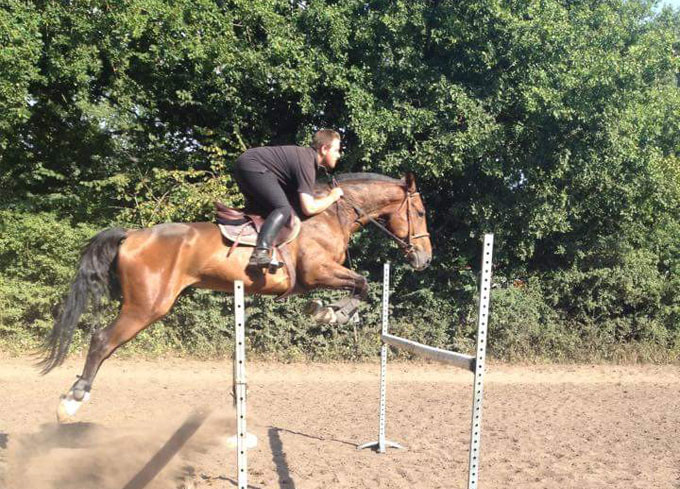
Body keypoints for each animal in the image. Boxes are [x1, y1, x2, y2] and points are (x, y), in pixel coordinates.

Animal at [38, 172, 430, 420]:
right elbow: (362, 284)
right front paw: (330, 312)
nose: (425, 259)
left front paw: (331, 311)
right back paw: (72, 401)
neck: (330, 215)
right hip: (147, 306)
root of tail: (132, 235)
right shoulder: (316, 272)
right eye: (420, 212)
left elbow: (361, 285)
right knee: (101, 340)